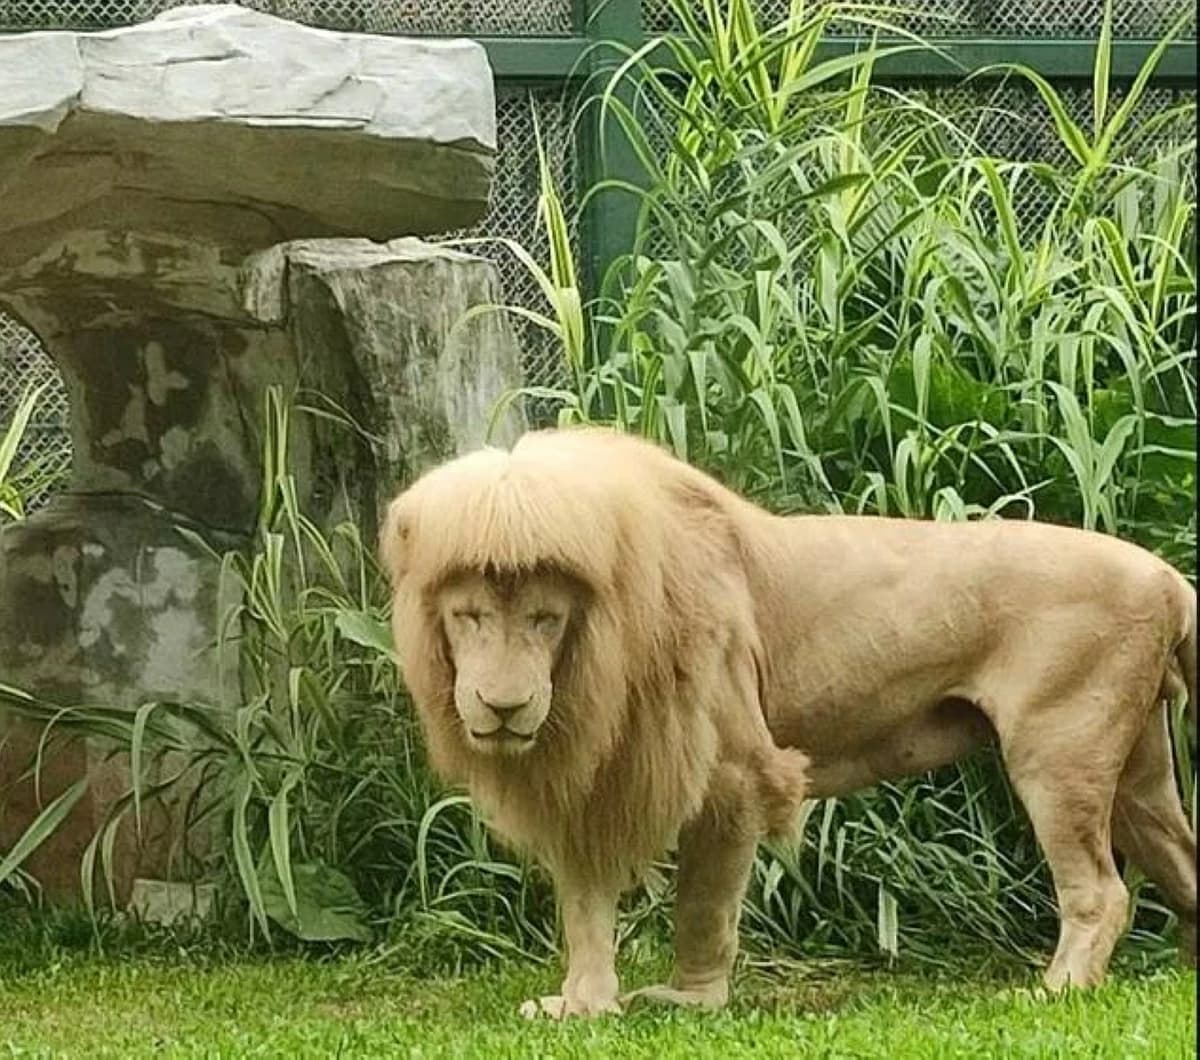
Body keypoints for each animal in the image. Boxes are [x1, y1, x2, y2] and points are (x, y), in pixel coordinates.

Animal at [380, 427, 1196, 1017]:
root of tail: (1167, 576)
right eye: (468, 616)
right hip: (1139, 774)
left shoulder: (736, 771)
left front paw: (690, 1000)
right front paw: (580, 1005)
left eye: (546, 619)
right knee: (1183, 860)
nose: (503, 706)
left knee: (1102, 891)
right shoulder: (590, 782)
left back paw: (1055, 989)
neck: (596, 658)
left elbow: (703, 904)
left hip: (1058, 752)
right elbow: (585, 908)